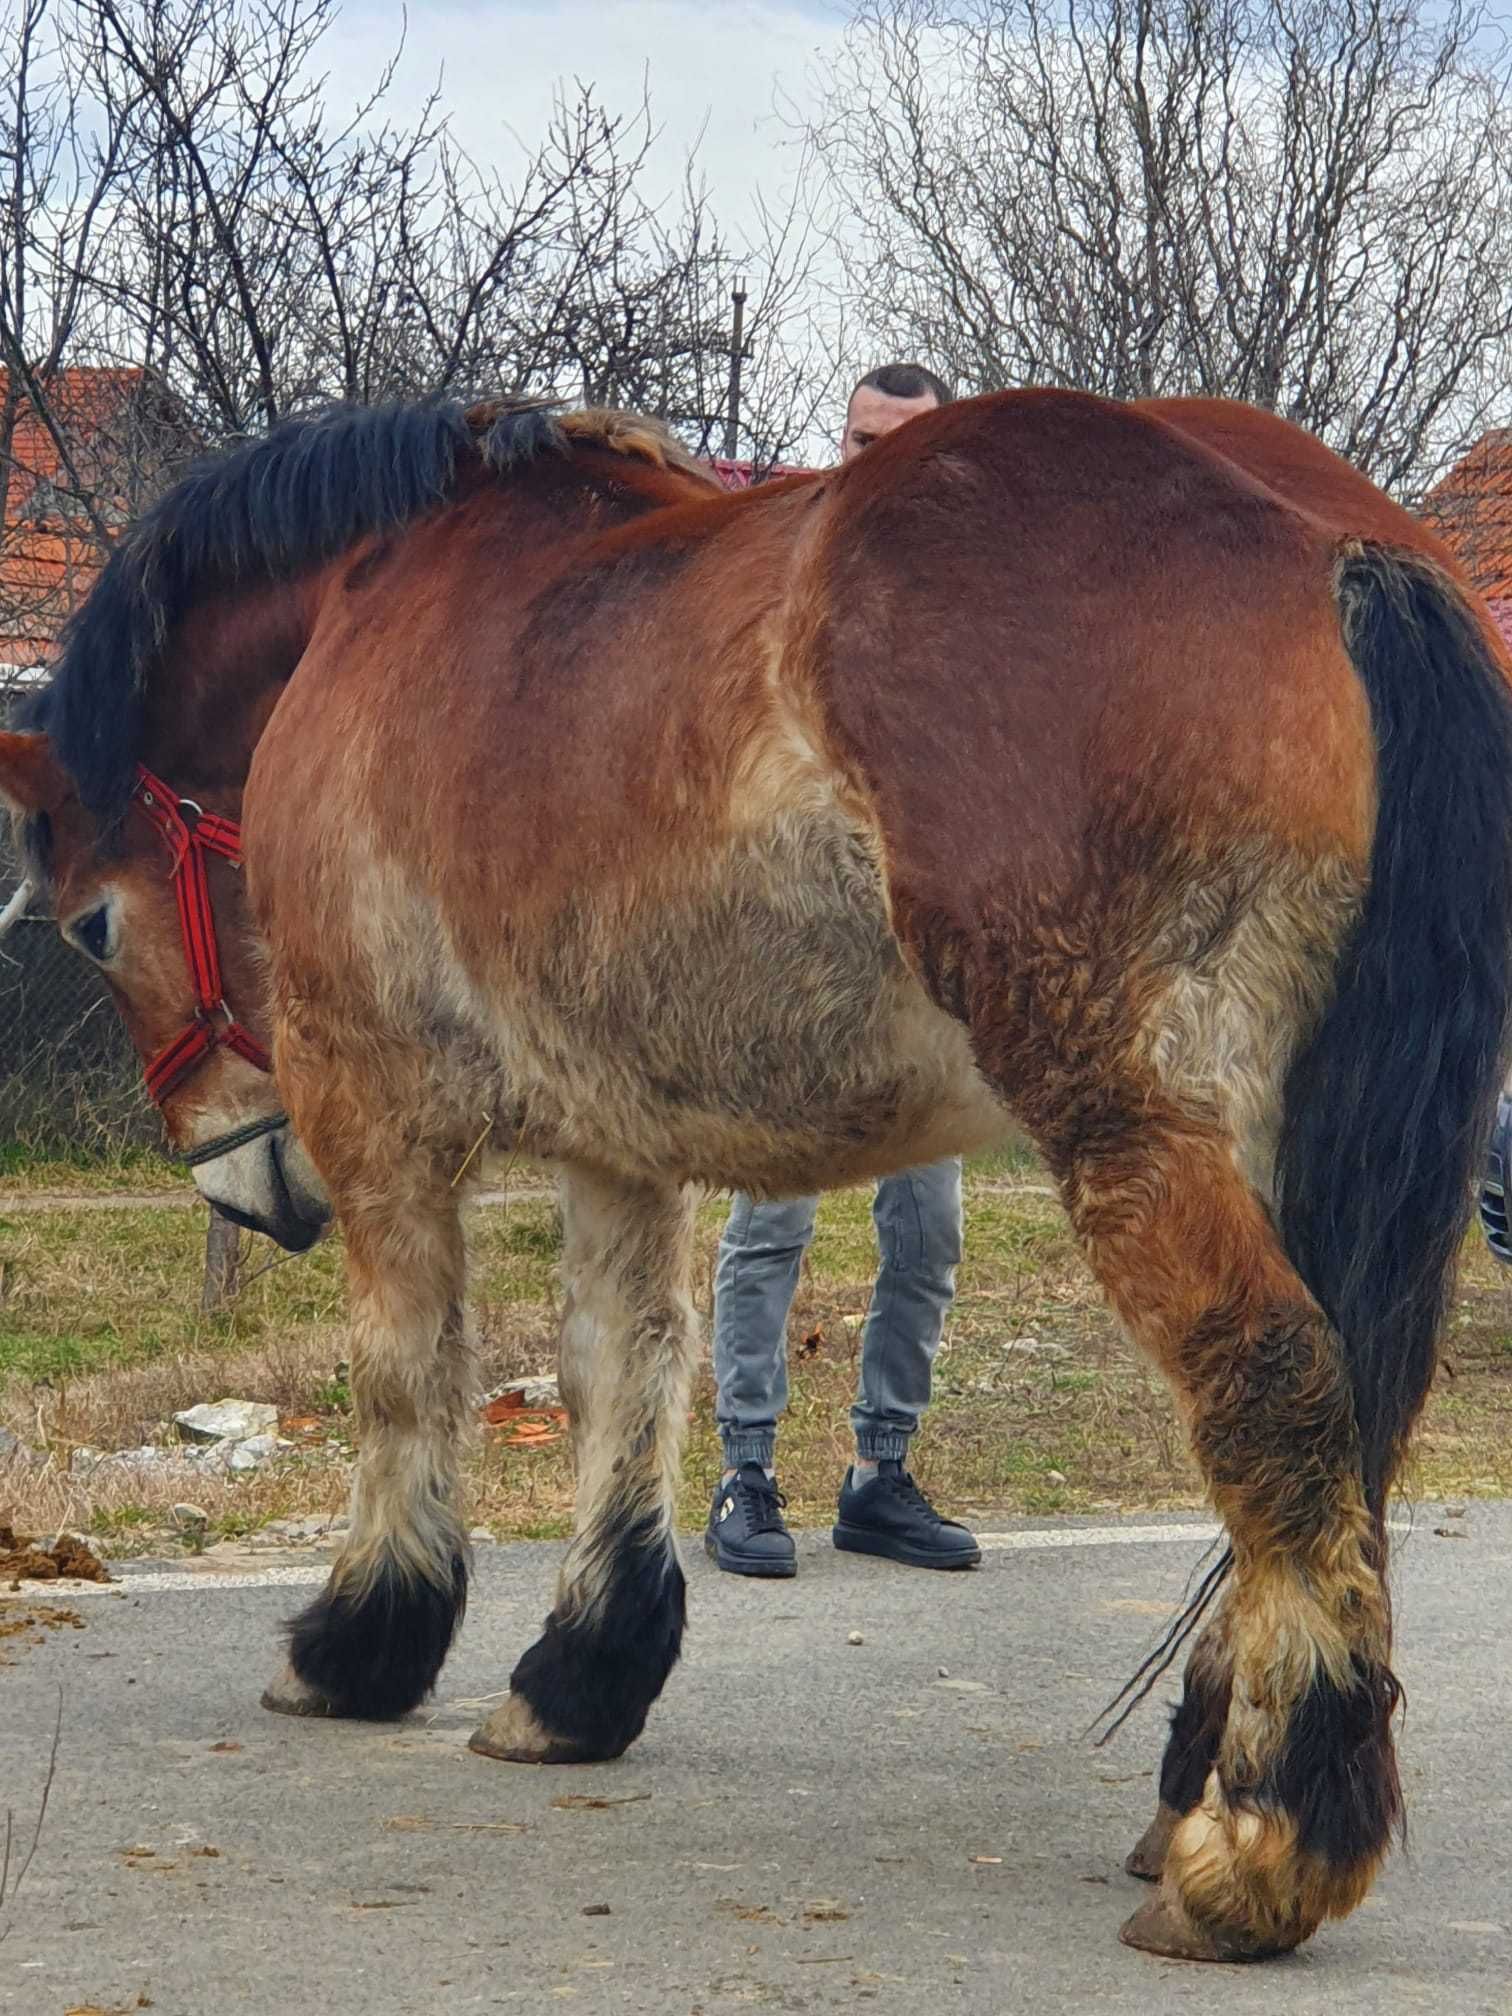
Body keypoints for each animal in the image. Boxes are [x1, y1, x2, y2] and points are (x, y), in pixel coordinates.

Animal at [2, 385, 1512, 1959]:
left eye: (93, 925)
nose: (239, 1184)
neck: (386, 596)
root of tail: (1331, 541)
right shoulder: (613, 1134)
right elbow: (624, 1367)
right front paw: (581, 1674)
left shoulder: (377, 1107)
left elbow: (408, 1375)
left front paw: (363, 1640)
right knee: (1351, 1410)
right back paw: (1198, 1790)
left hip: (1137, 1112)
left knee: (1275, 1386)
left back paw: (1266, 1843)